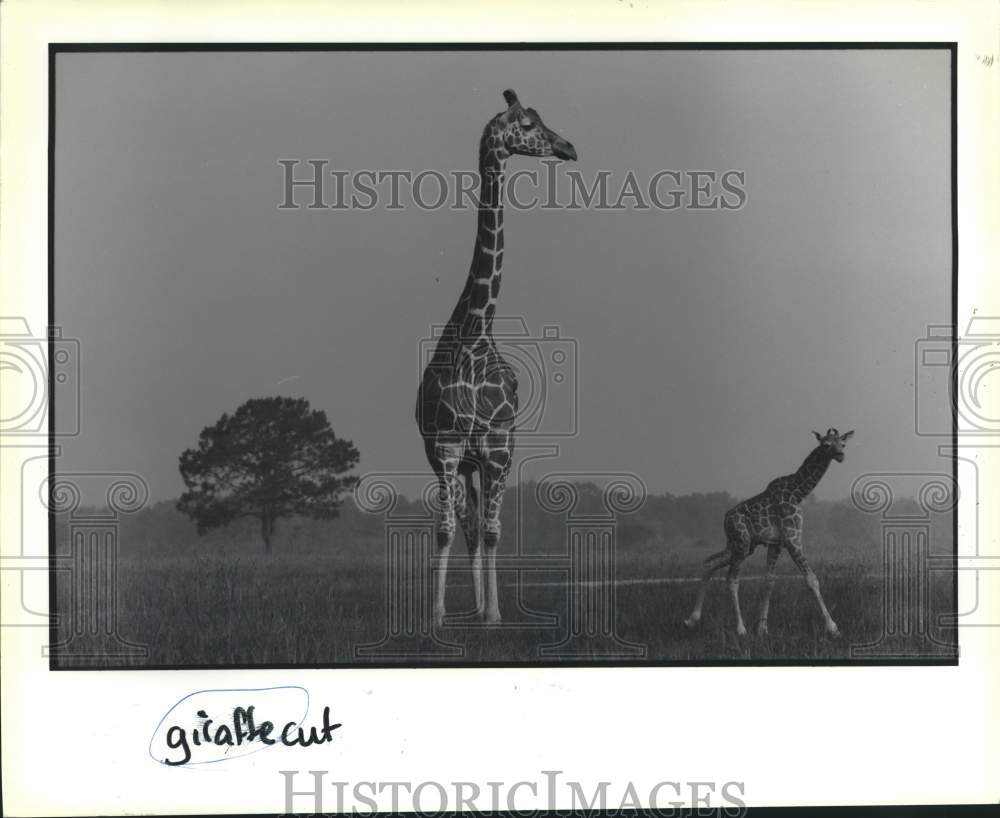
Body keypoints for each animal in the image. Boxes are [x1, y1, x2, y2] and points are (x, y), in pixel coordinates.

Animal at [416, 89, 580, 624]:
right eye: (527, 123)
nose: (569, 147)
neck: (472, 334)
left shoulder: (498, 450)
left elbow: (492, 531)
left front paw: (494, 614)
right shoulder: (446, 449)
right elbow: (447, 528)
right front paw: (437, 614)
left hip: (490, 460)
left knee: (484, 526)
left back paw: (486, 607)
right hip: (459, 462)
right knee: (465, 524)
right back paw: (468, 605)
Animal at [684, 428, 856, 636]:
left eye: (843, 443)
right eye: (826, 444)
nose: (840, 455)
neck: (797, 493)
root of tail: (725, 520)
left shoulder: (776, 543)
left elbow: (769, 581)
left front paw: (762, 628)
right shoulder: (792, 539)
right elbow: (811, 579)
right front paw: (832, 627)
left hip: (741, 545)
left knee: (710, 564)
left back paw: (692, 619)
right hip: (741, 543)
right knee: (731, 579)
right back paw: (740, 629)